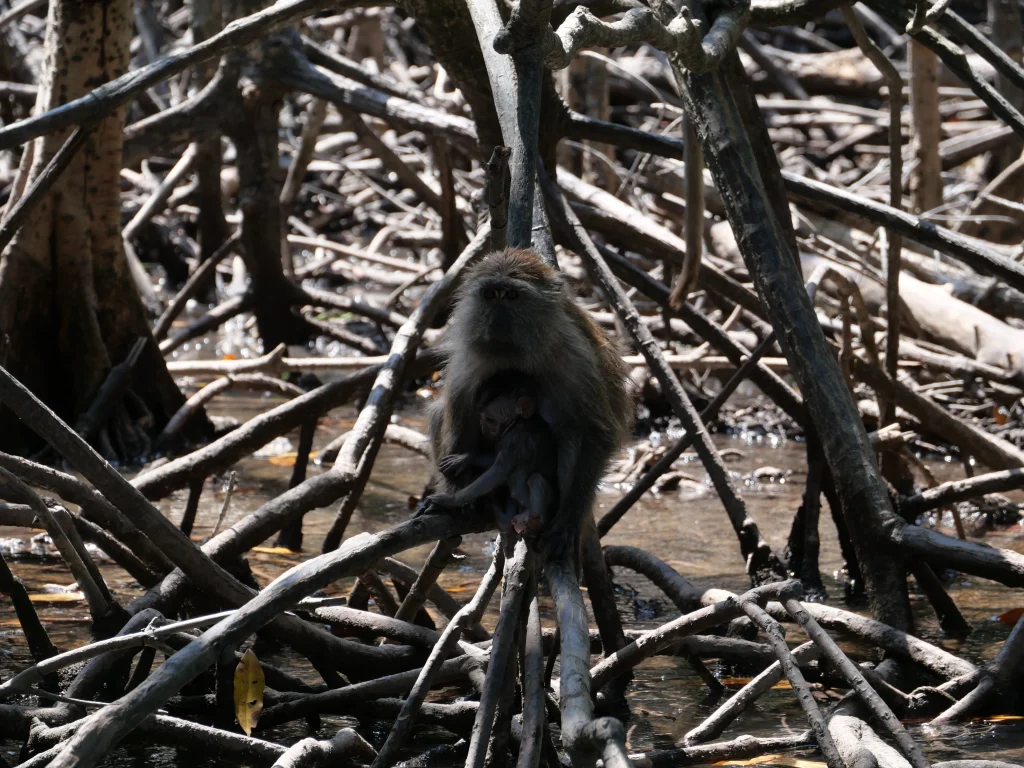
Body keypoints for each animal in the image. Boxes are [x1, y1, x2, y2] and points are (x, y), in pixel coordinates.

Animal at [426, 374, 557, 536]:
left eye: (490, 419)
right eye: (481, 418)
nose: (483, 427)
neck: (518, 421)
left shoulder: (513, 439)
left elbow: (497, 472)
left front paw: (450, 500)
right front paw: (464, 459)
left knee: (534, 479)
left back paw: (531, 518)